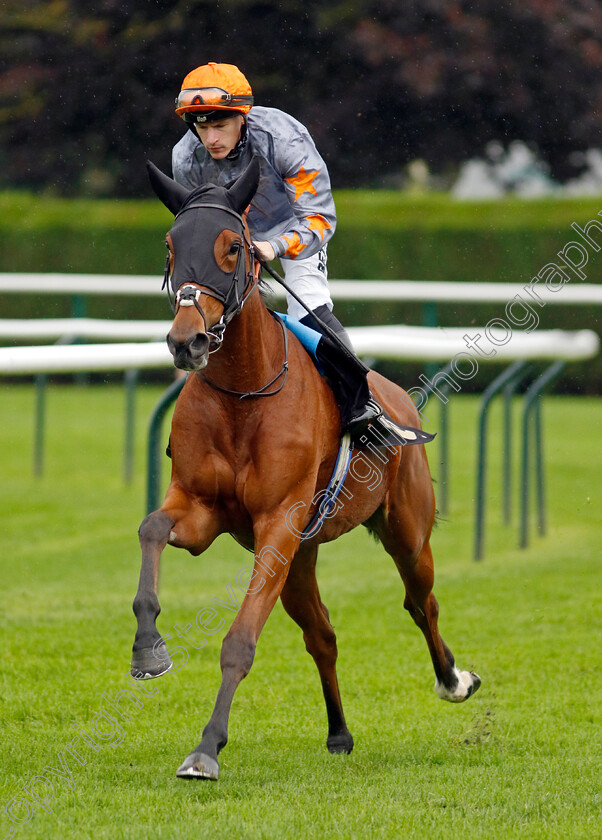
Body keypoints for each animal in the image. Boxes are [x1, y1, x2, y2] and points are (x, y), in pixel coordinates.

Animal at [131, 159, 478, 780]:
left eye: (234, 246)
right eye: (170, 246)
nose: (186, 342)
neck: (245, 393)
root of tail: (400, 398)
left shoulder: (278, 522)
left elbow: (240, 640)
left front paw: (205, 749)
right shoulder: (202, 510)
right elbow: (151, 528)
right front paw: (149, 648)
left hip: (405, 530)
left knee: (422, 602)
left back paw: (453, 680)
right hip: (303, 557)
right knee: (323, 634)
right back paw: (339, 733)